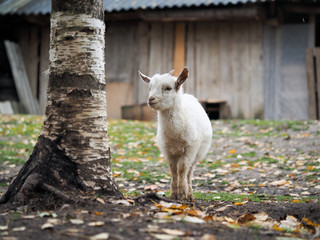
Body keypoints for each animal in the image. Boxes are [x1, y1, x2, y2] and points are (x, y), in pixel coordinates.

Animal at [138, 68, 211, 201]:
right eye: (150, 87)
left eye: (168, 88)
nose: (151, 99)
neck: (175, 135)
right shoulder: (167, 150)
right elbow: (173, 169)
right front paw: (173, 194)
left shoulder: (190, 148)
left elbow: (182, 169)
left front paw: (182, 194)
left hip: (198, 152)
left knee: (190, 171)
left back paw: (190, 194)